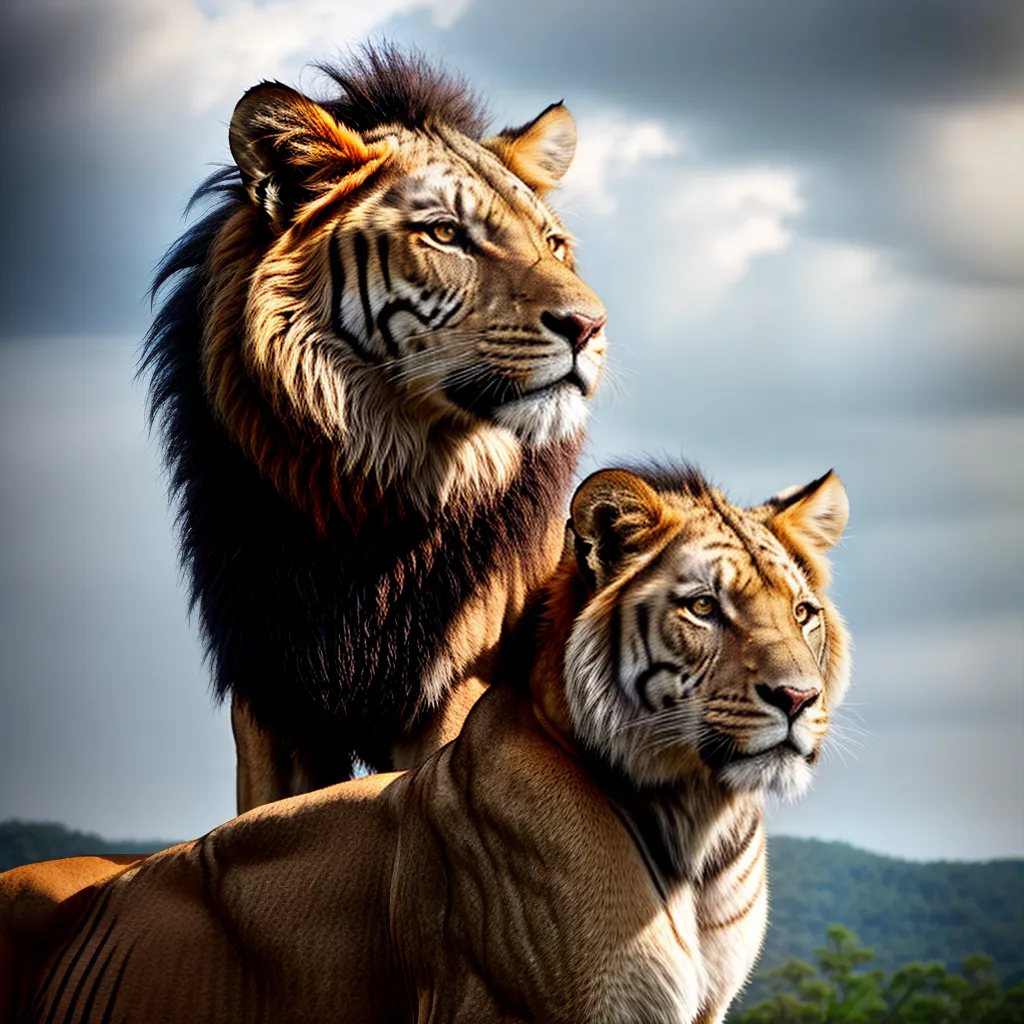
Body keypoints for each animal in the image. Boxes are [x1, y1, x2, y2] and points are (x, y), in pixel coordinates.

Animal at [141, 45, 607, 810]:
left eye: (555, 245)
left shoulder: (455, 691)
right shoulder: (268, 700)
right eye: (446, 233)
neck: (365, 486)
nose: (590, 325)